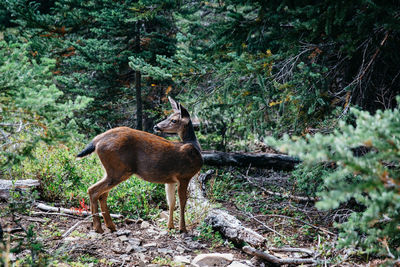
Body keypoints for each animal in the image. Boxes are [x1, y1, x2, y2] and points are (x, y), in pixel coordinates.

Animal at [77, 97, 203, 233]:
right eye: (170, 117)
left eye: (173, 120)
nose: (156, 126)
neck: (194, 147)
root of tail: (97, 140)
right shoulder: (184, 175)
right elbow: (182, 201)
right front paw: (183, 228)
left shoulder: (170, 180)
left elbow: (171, 202)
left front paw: (170, 226)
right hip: (119, 169)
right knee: (93, 190)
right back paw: (98, 227)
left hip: (111, 170)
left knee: (102, 194)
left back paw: (110, 226)